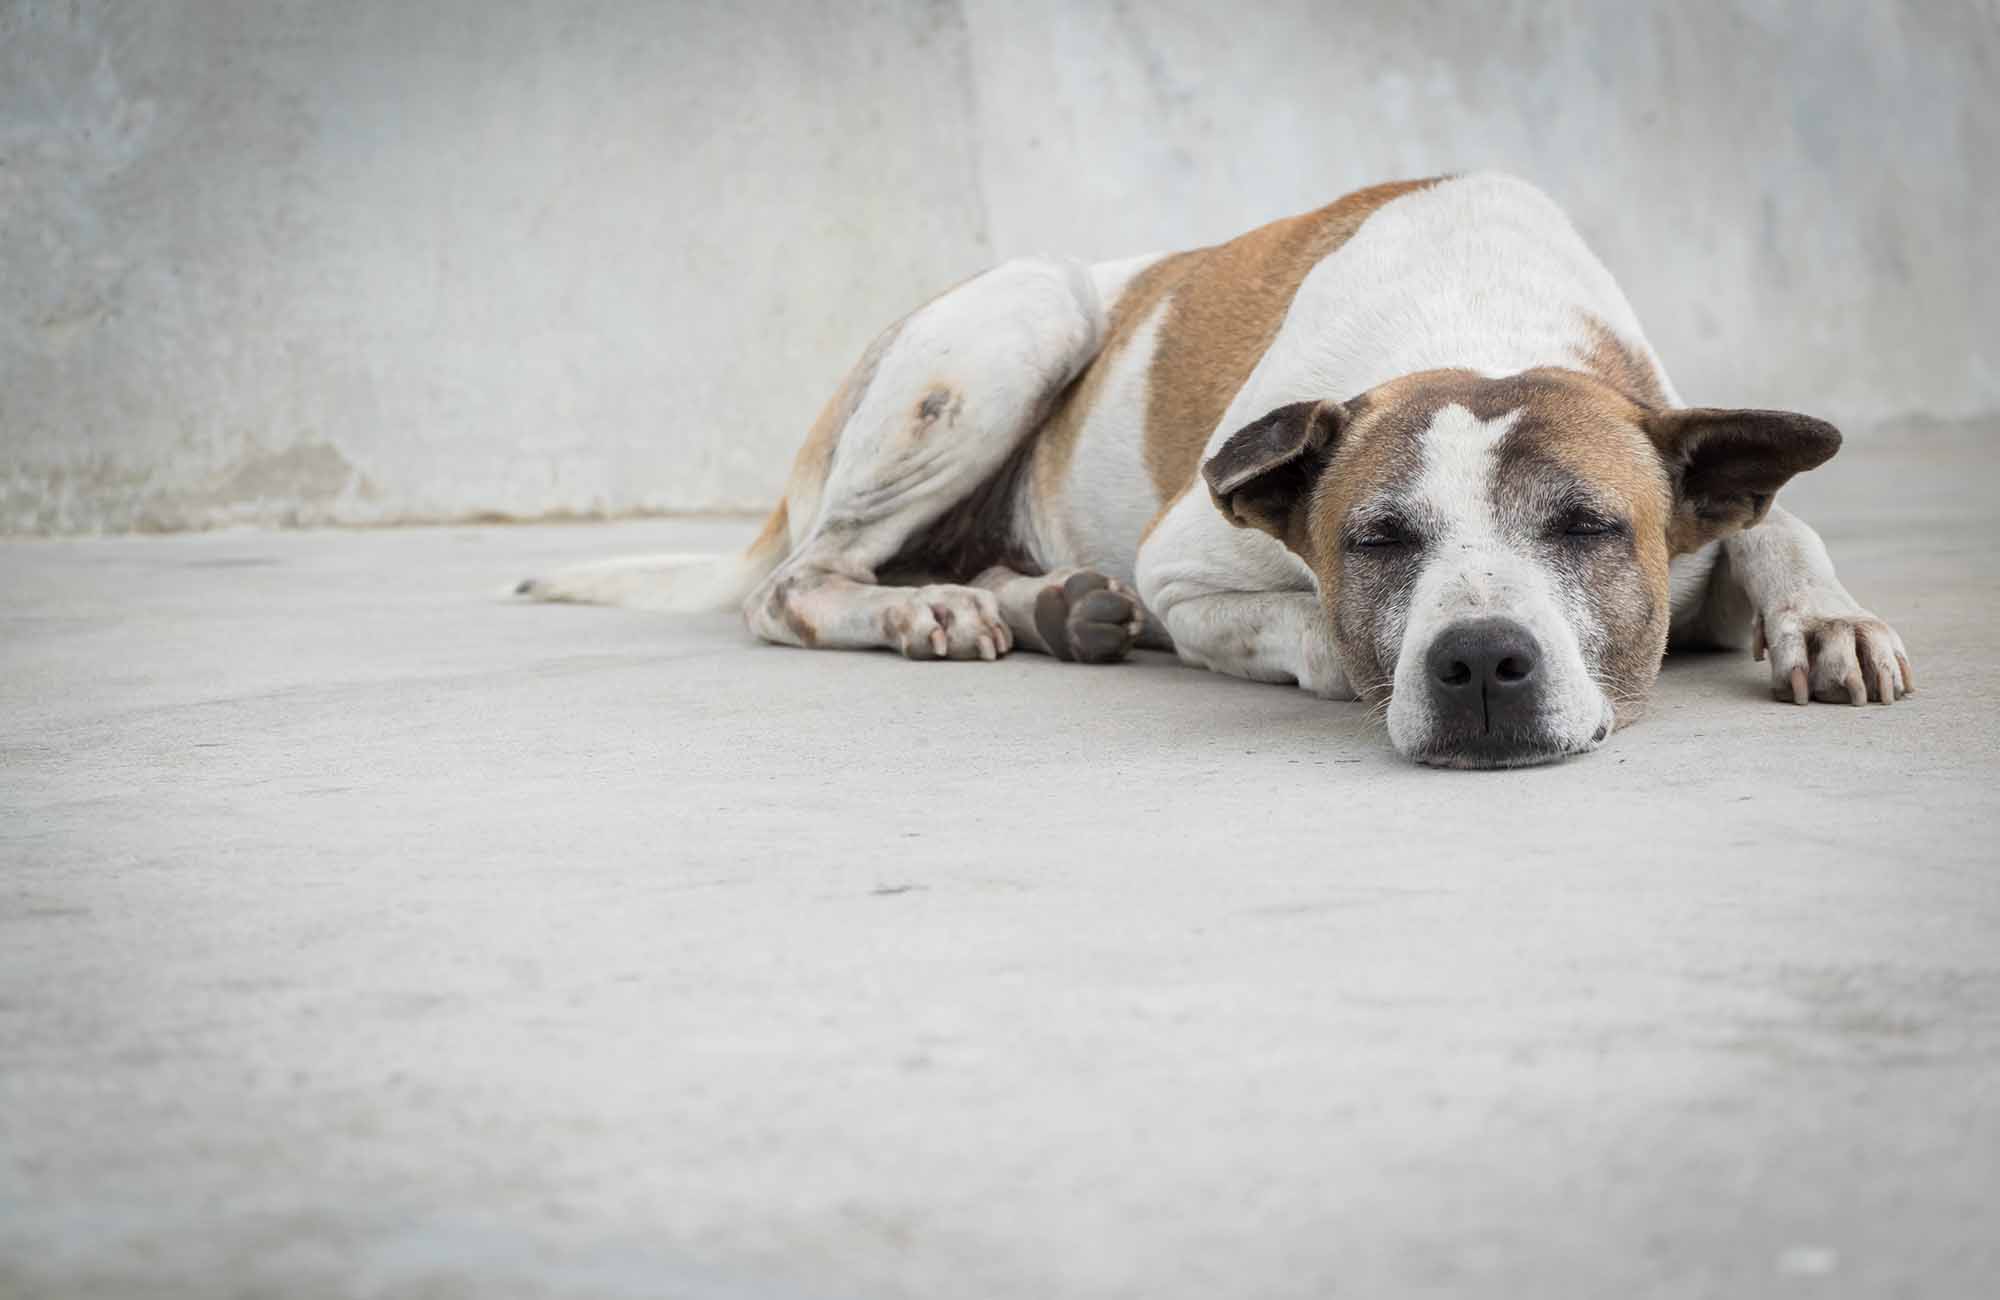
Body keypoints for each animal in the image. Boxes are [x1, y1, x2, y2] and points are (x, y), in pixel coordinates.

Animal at [524, 168, 1912, 764]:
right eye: (1375, 541)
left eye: (1587, 529)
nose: (1476, 664)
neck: (1476, 321)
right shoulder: (1188, 566)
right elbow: (1307, 636)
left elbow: (1771, 525)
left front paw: (1824, 618)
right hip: (1018, 318)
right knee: (794, 586)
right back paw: (937, 605)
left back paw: (1045, 602)